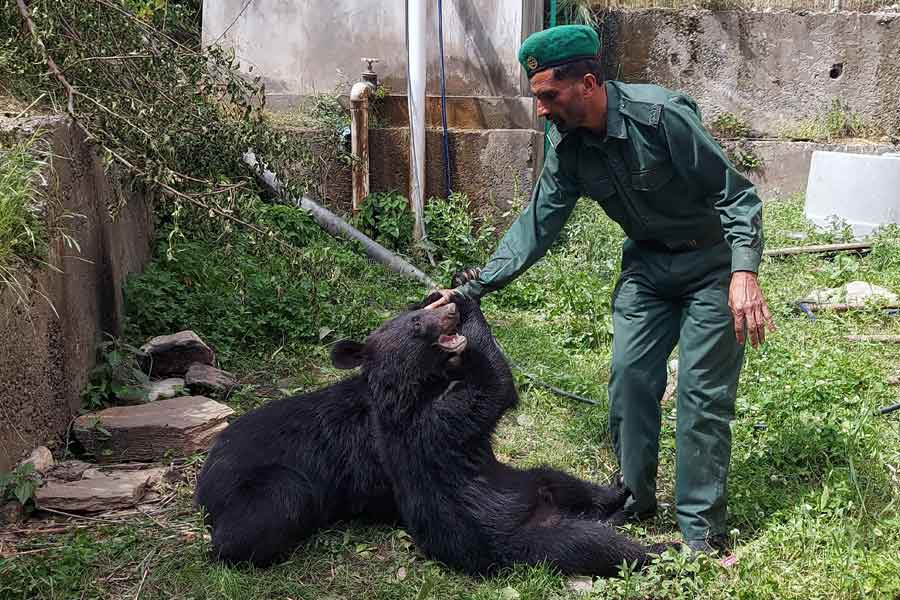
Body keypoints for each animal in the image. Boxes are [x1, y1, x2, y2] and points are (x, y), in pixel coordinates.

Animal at [332, 296, 676, 576]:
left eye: (416, 312)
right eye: (416, 323)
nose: (449, 311)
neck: (415, 389)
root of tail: (552, 514)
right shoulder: (437, 424)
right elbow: (494, 388)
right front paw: (467, 302)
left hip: (530, 482)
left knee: (567, 484)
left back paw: (619, 492)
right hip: (536, 540)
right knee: (596, 545)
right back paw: (661, 548)